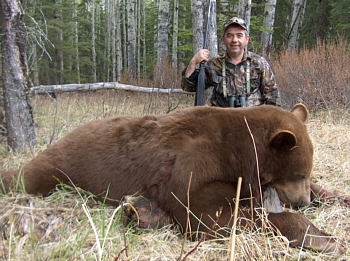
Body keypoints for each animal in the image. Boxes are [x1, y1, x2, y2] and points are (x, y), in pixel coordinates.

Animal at [0, 104, 344, 254]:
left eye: (307, 172)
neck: (242, 149)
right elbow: (203, 212)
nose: (302, 202)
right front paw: (325, 238)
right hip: (60, 166)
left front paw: (334, 198)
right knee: (27, 176)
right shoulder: (195, 161)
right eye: (298, 173)